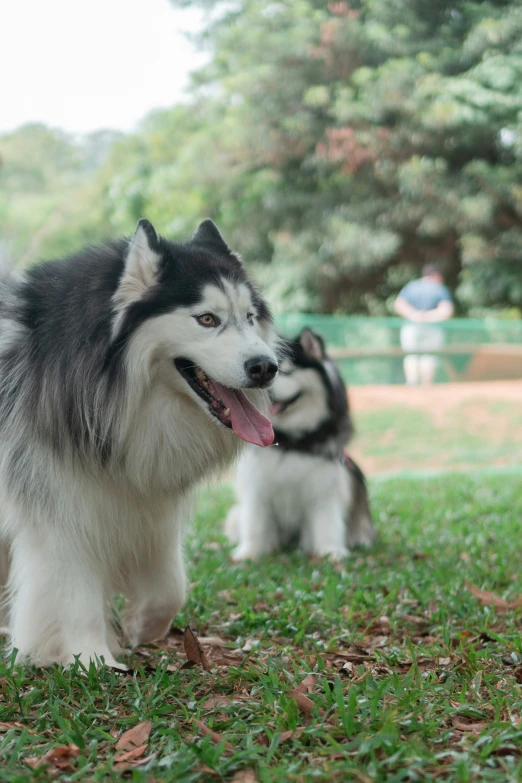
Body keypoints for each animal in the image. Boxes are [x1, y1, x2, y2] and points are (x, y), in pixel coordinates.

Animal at [0, 220, 278, 668]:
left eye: (250, 318)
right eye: (206, 318)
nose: (267, 367)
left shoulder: (143, 502)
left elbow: (170, 585)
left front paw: (141, 626)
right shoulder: (60, 506)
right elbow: (73, 592)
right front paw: (91, 659)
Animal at [223, 328, 374, 560]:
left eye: (285, 371)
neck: (288, 440)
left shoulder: (325, 487)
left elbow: (327, 523)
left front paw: (330, 552)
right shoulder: (256, 487)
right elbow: (255, 523)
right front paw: (250, 553)